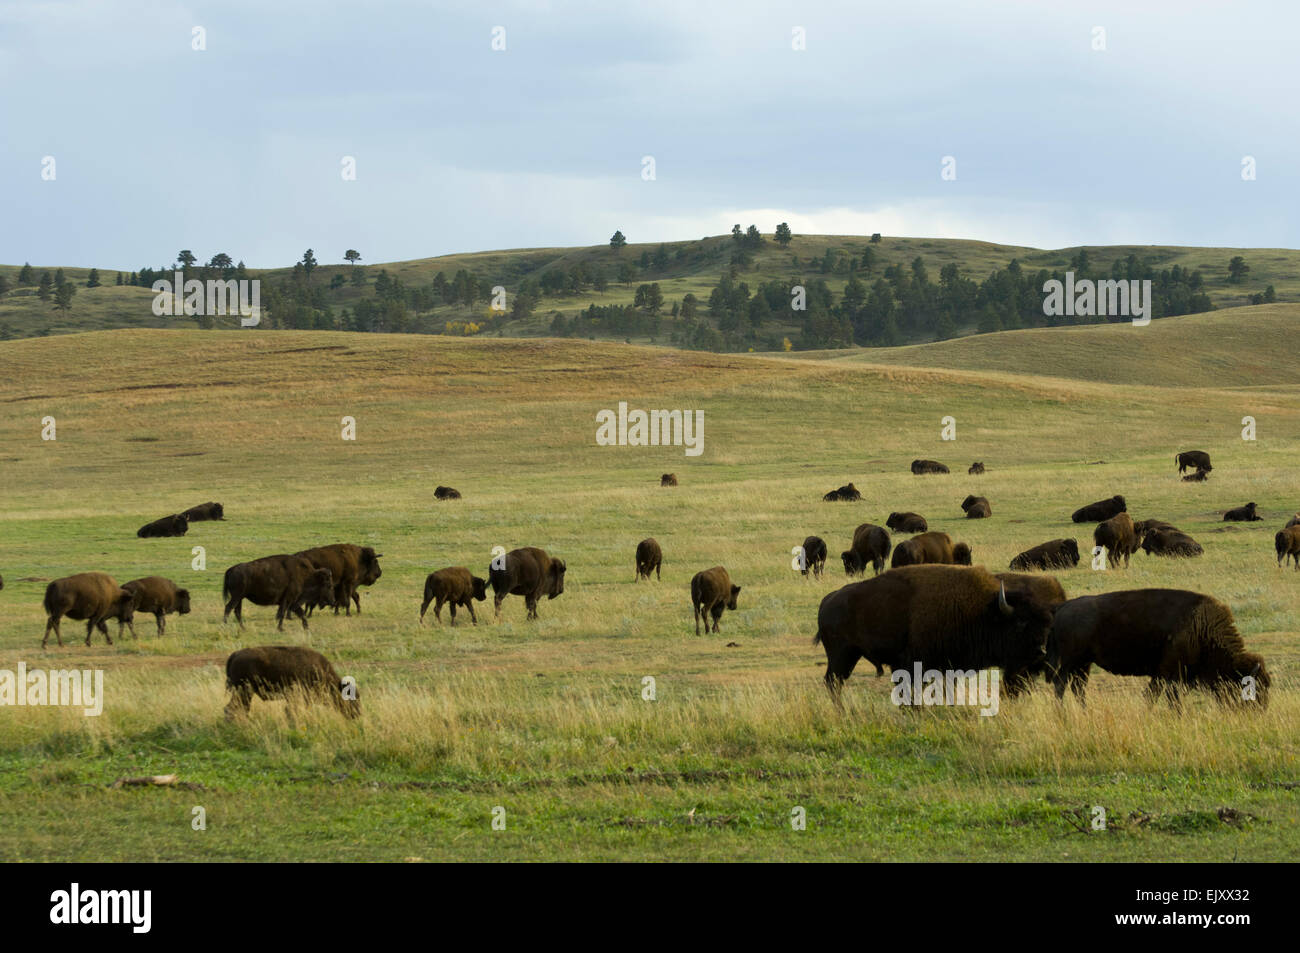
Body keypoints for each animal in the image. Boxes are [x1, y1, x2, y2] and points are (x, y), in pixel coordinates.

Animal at [224, 646, 359, 720]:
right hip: (244, 691)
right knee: (233, 708)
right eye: (350, 698)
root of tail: (235, 654)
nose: (357, 714)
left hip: (245, 693)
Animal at [814, 565, 1055, 696]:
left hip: (849, 656)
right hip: (842, 656)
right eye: (1020, 622)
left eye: (1046, 624)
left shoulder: (949, 668)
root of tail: (828, 599)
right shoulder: (915, 666)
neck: (982, 612)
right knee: (833, 683)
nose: (1041, 651)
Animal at [1048, 590, 1268, 708]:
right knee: (1060, 685)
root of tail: (1062, 607)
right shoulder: (1170, 674)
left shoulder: (1166, 675)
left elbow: (1158, 696)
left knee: (1077, 688)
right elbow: (1164, 698)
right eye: (1251, 689)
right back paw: (1062, 716)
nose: (1259, 710)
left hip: (1084, 663)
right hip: (1071, 662)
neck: (1201, 626)